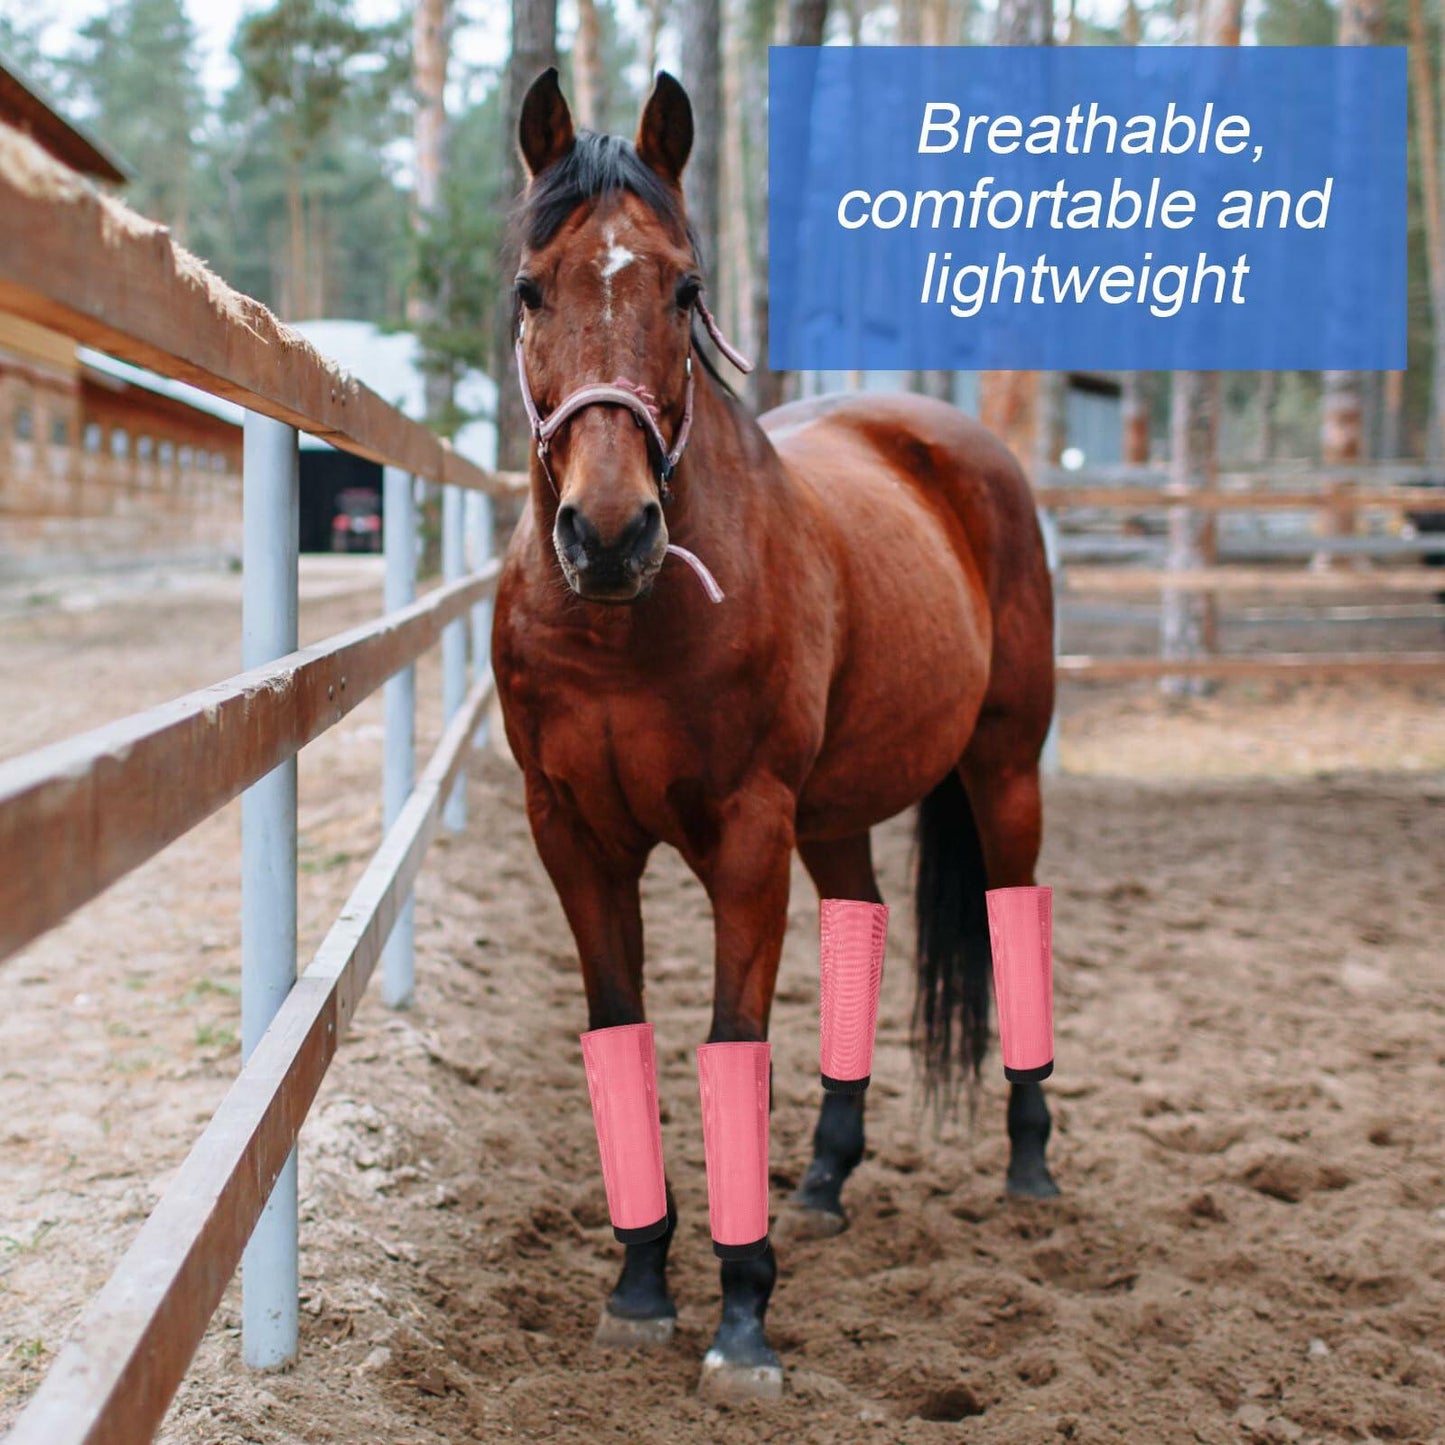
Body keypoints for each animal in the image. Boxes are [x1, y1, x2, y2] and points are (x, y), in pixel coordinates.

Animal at [492, 68, 1058, 1397]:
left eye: (682, 287)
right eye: (531, 287)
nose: (607, 532)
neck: (623, 624)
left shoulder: (745, 834)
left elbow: (729, 1040)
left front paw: (741, 1313)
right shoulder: (573, 837)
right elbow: (622, 1033)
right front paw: (639, 1284)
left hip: (1003, 765)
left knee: (1013, 910)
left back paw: (1028, 1159)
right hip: (836, 811)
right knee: (860, 917)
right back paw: (824, 1176)